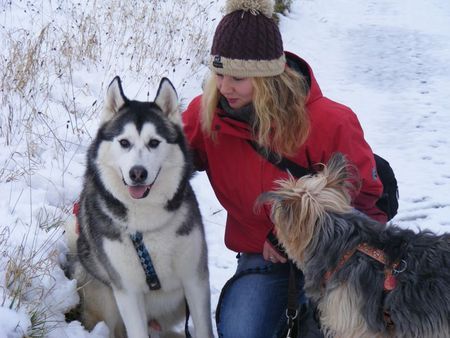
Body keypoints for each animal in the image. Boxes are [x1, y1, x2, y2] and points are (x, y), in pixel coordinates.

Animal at [66, 77, 213, 338]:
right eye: (124, 143)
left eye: (154, 142)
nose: (137, 173)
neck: (146, 220)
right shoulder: (127, 292)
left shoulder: (195, 280)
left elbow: (205, 328)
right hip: (105, 298)